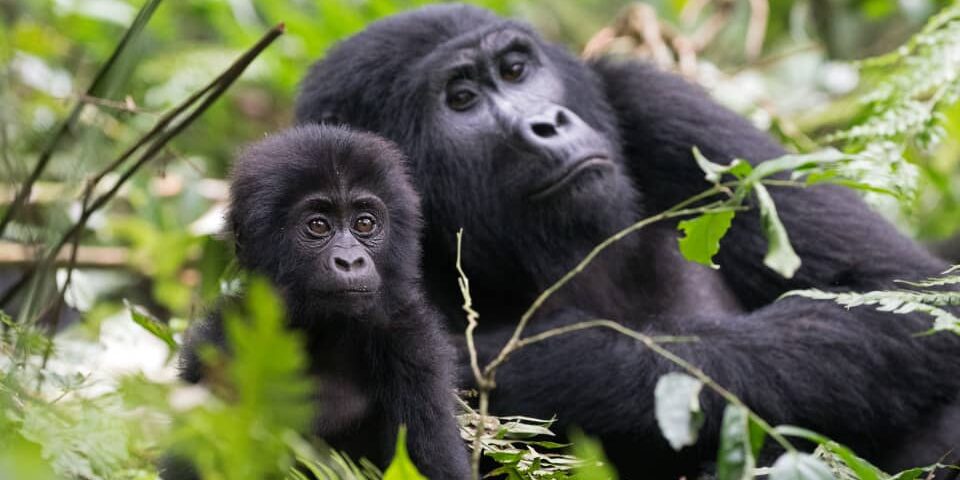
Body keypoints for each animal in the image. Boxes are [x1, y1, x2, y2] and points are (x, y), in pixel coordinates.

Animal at [294, 3, 960, 476]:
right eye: (461, 99)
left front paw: (534, 368)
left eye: (515, 70)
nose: (547, 123)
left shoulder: (654, 99)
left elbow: (897, 295)